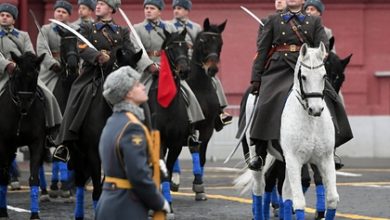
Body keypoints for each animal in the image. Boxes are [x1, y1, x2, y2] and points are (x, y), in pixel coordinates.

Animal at [0, 51, 45, 218]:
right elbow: (2, 177)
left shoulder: (37, 142)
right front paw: (3, 213)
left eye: (35, 75)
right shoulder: (3, 144)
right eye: (18, 76)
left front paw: (35, 215)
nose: (25, 104)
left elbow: (34, 178)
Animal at [235, 43, 338, 220]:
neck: (310, 121)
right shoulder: (294, 160)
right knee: (259, 186)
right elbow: (298, 201)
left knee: (281, 189)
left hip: (282, 161)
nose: (316, 109)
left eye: (324, 76)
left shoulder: (324, 159)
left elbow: (332, 199)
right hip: (257, 155)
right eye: (303, 77)